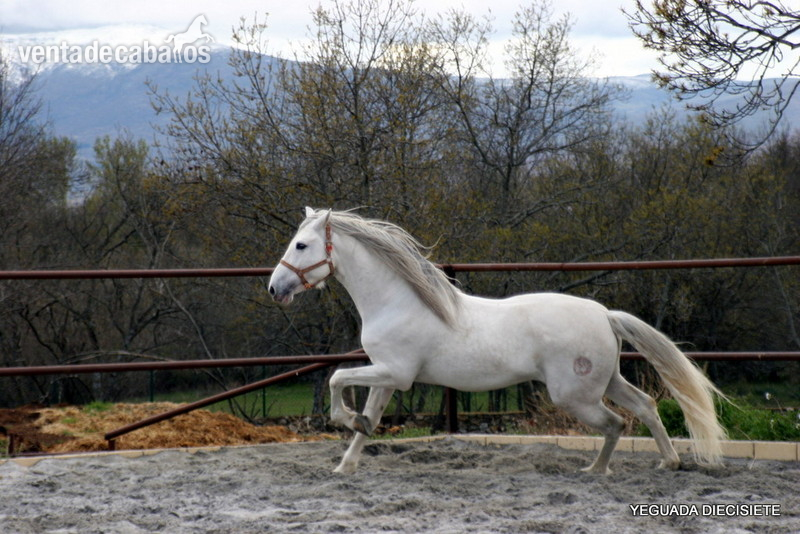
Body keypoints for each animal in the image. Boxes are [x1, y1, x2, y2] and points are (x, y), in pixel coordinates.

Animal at [268, 208, 727, 475]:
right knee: (646, 407)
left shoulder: (395, 374)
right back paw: (669, 462)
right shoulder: (387, 377)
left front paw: (345, 423)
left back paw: (595, 472)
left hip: (574, 396)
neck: (397, 301)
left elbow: (336, 379)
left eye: (302, 244)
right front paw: (346, 463)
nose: (275, 288)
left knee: (616, 423)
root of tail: (604, 314)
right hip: (604, 381)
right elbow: (371, 419)